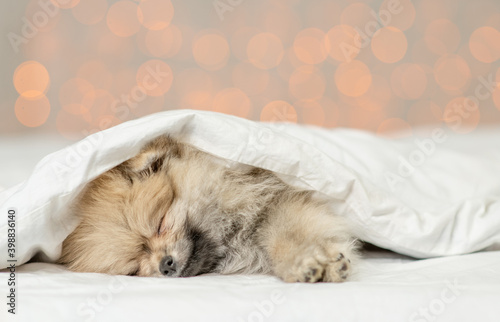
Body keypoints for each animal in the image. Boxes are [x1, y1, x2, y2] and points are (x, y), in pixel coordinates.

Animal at [58, 136, 358, 282]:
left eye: (160, 223)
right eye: (134, 268)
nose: (164, 265)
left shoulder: (280, 202)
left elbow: (288, 233)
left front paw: (308, 259)